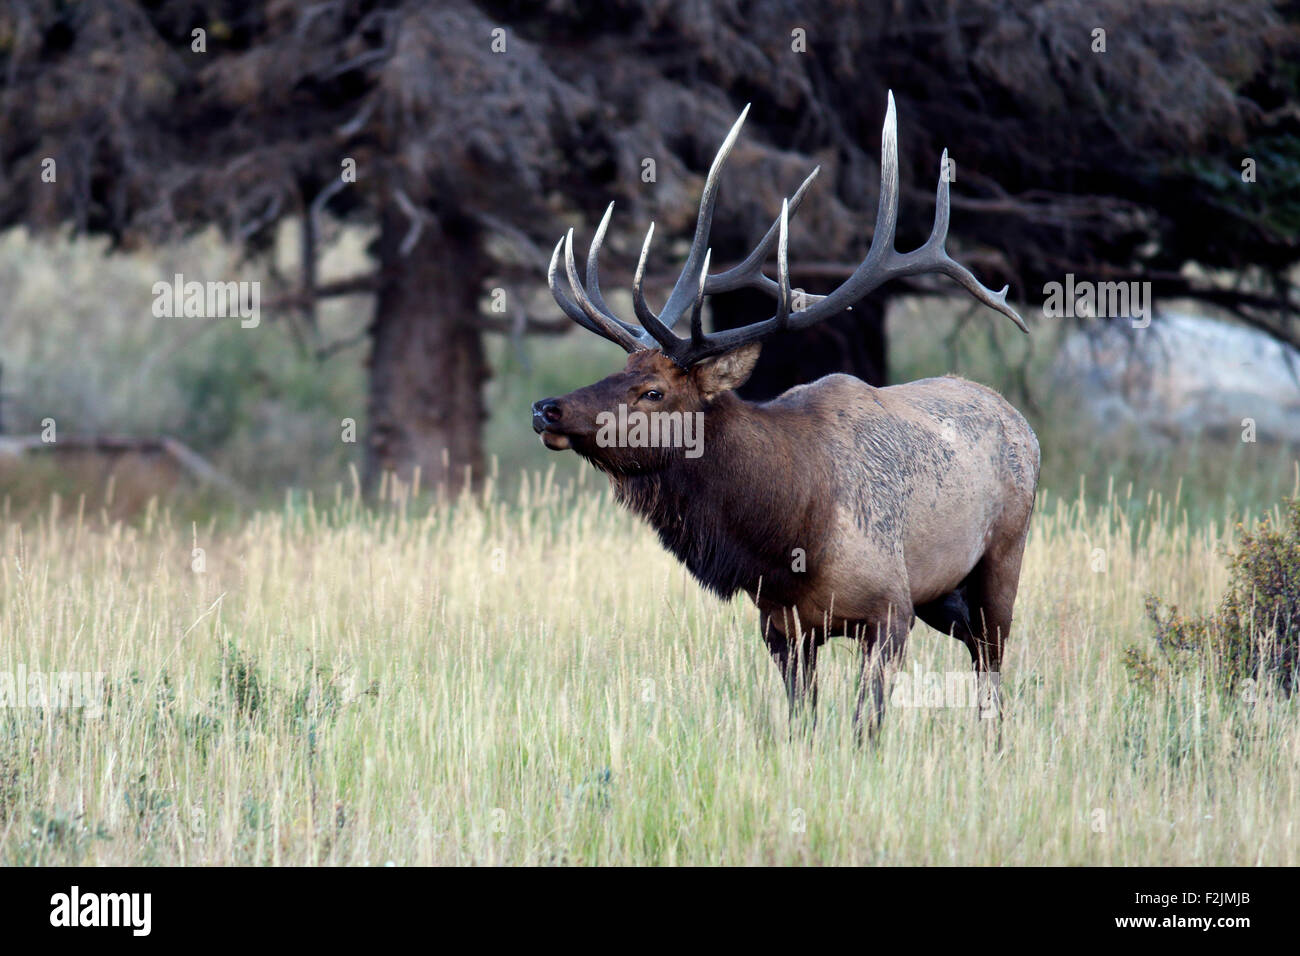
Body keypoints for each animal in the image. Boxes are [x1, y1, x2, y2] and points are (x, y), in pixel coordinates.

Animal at [531, 94, 1040, 739]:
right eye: (619, 370)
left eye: (652, 391)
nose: (546, 407)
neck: (788, 538)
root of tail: (1019, 419)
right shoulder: (780, 626)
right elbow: (802, 724)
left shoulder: (890, 610)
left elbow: (866, 727)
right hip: (943, 597)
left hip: (1001, 560)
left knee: (991, 669)